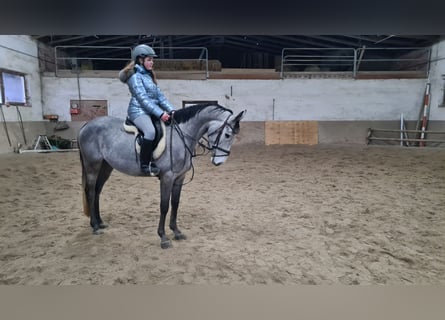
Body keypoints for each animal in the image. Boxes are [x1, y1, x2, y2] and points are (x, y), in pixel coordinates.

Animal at [77, 104, 245, 249]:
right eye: (227, 134)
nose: (219, 162)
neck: (181, 136)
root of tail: (86, 125)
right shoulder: (167, 177)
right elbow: (164, 206)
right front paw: (163, 237)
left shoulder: (179, 178)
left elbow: (175, 204)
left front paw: (176, 231)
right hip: (92, 165)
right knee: (90, 192)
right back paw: (95, 226)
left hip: (106, 166)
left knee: (97, 191)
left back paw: (100, 222)